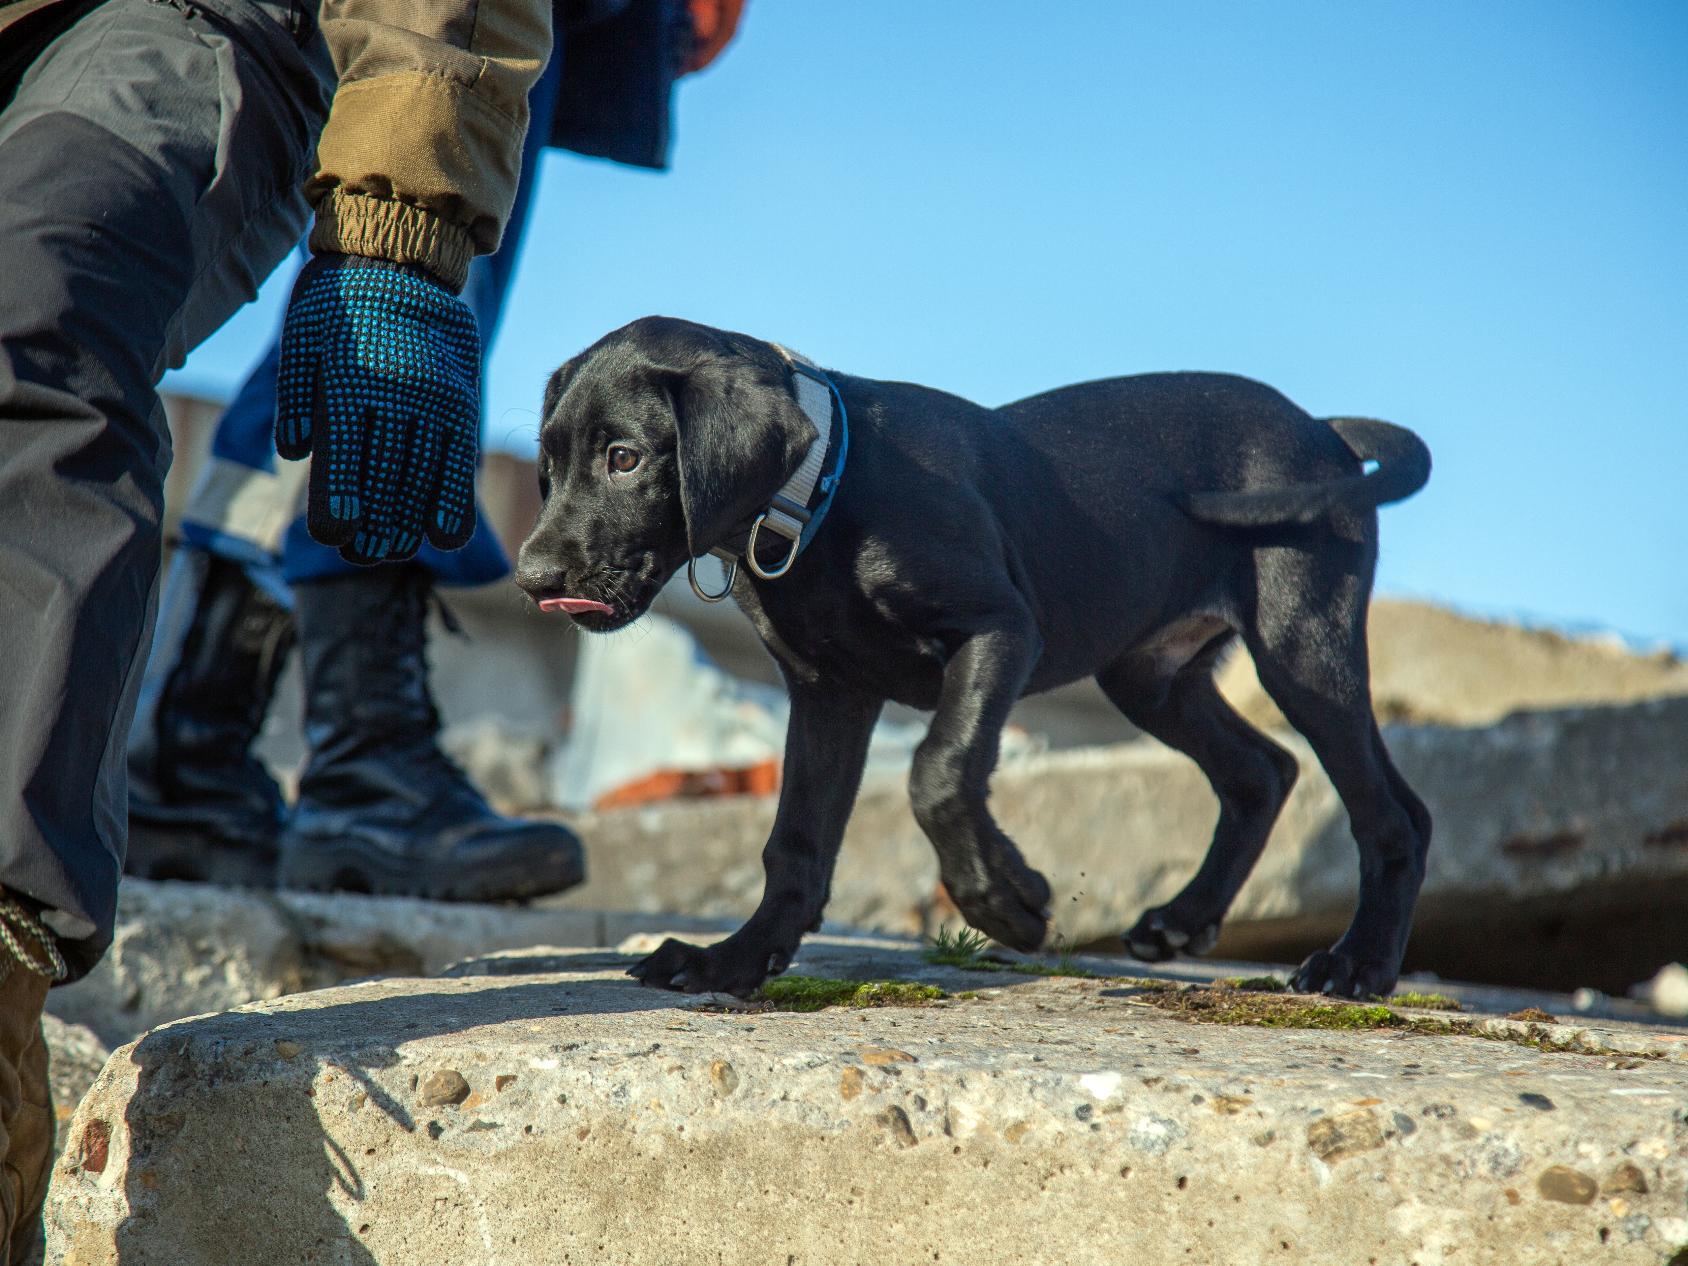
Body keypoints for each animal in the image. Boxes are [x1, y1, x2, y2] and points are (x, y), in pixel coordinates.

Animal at [519, 317, 1431, 999]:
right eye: (546, 469)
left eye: (625, 457)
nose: (532, 580)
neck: (828, 486)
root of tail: (1323, 431)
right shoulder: (827, 695)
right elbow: (796, 841)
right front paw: (738, 960)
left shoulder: (999, 631)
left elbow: (939, 769)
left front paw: (1007, 902)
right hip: (1151, 676)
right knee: (1262, 772)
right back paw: (1184, 918)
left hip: (1301, 645)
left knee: (1394, 813)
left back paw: (1358, 966)